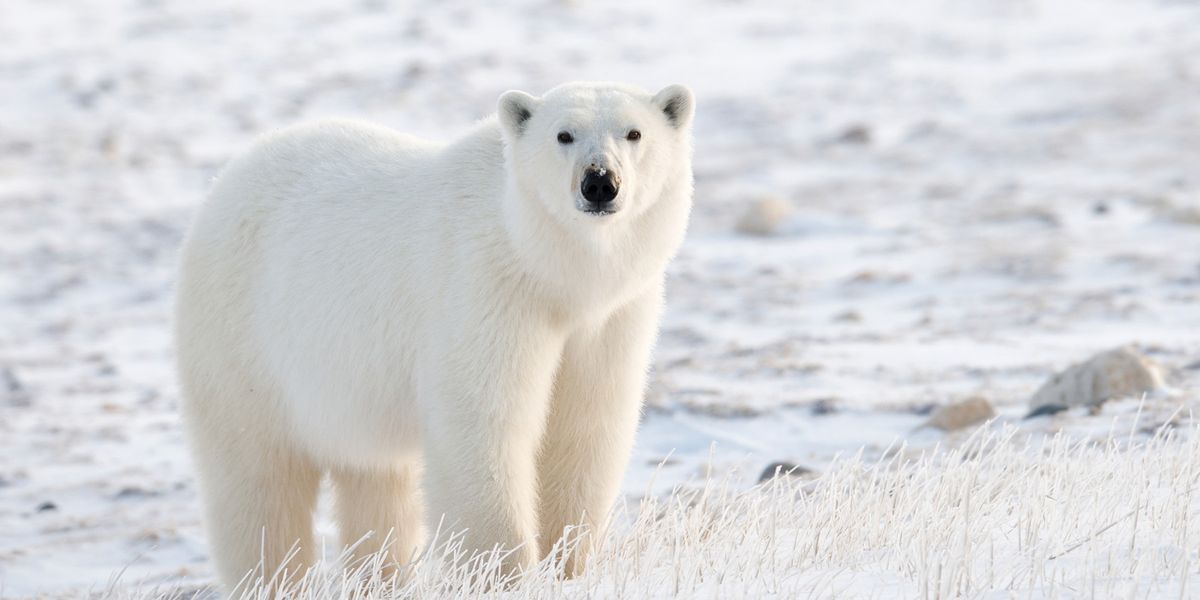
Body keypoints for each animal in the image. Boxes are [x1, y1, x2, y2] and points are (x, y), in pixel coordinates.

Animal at [174, 81, 695, 590]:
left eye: (634, 133)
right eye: (563, 135)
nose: (600, 182)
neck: (549, 270)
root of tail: (227, 178)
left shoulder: (610, 318)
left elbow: (584, 427)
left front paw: (568, 566)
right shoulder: (485, 291)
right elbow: (483, 425)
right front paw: (504, 574)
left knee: (376, 483)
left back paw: (381, 578)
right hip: (243, 343)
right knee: (258, 482)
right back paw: (272, 577)